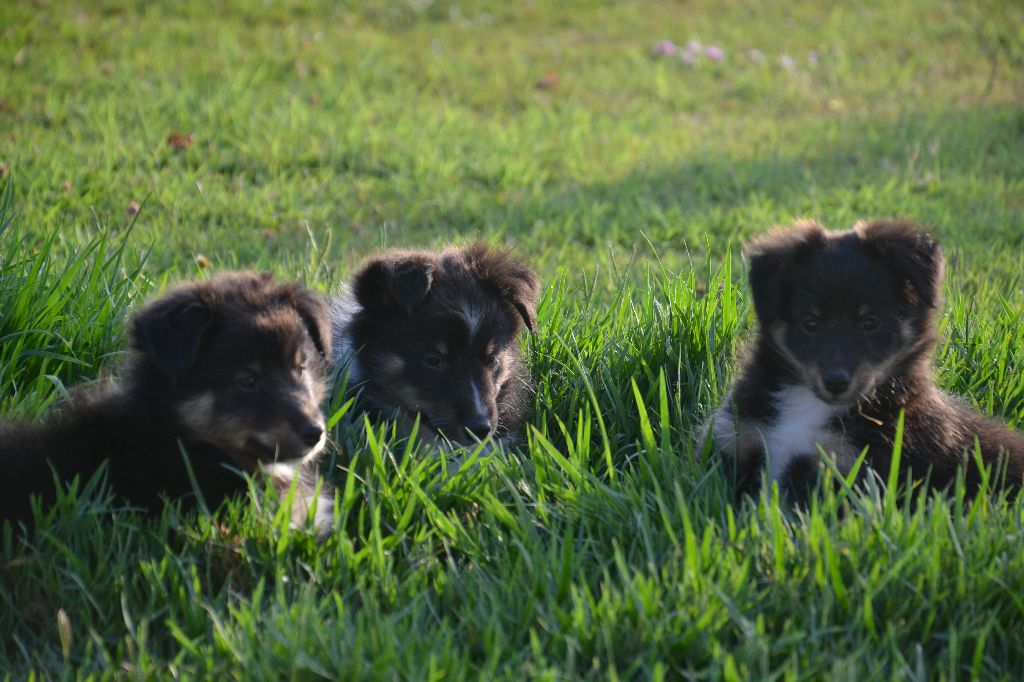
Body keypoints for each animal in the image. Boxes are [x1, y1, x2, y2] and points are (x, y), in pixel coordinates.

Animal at [708, 220, 1024, 501]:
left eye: (870, 322)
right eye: (810, 323)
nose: (836, 382)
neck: (808, 403)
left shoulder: (853, 464)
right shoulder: (738, 435)